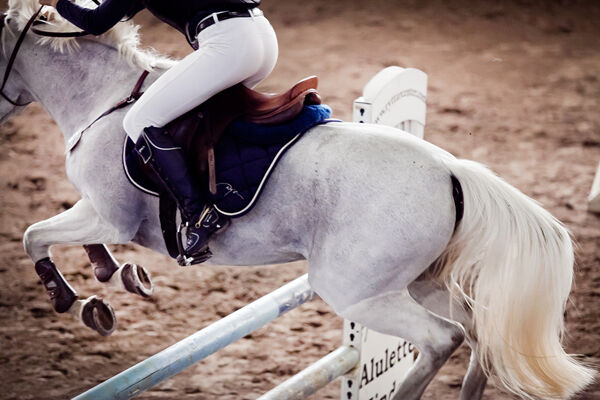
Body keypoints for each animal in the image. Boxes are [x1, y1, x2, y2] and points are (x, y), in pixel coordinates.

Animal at [0, 1, 594, 399]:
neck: (100, 99)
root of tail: (452, 169)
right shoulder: (99, 215)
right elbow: (59, 240)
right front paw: (109, 276)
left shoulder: (109, 215)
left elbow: (34, 236)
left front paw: (71, 297)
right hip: (416, 281)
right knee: (476, 330)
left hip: (356, 290)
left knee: (442, 338)